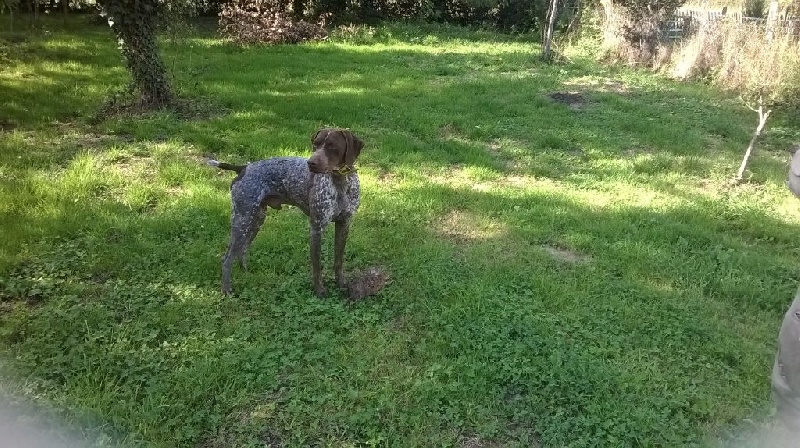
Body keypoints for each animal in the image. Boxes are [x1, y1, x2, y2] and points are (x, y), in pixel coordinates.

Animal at [209, 127, 366, 298]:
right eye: (315, 144)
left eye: (332, 146)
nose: (311, 163)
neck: (340, 182)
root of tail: (243, 168)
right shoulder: (317, 228)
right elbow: (317, 265)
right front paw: (319, 290)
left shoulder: (344, 224)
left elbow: (339, 260)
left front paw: (341, 283)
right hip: (242, 219)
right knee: (227, 258)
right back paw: (226, 290)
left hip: (255, 220)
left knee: (242, 249)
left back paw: (246, 272)